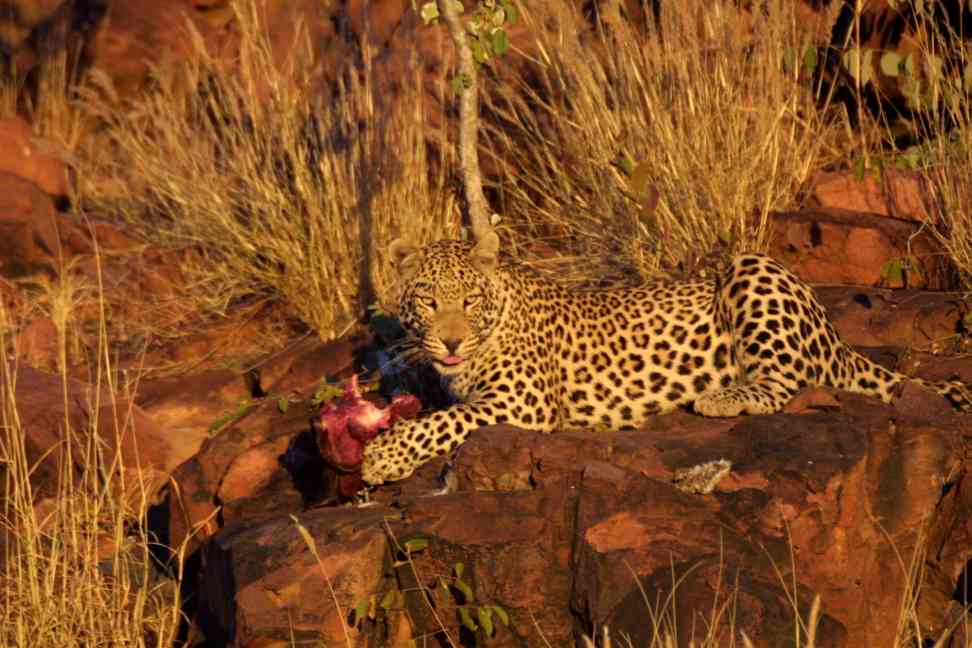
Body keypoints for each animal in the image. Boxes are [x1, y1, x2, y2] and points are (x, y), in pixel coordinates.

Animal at [358, 233, 972, 486]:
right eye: (430, 302)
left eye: (469, 300)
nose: (451, 343)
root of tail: (836, 333)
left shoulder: (522, 403)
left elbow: (444, 422)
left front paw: (382, 457)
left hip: (752, 268)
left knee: (786, 382)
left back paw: (717, 396)